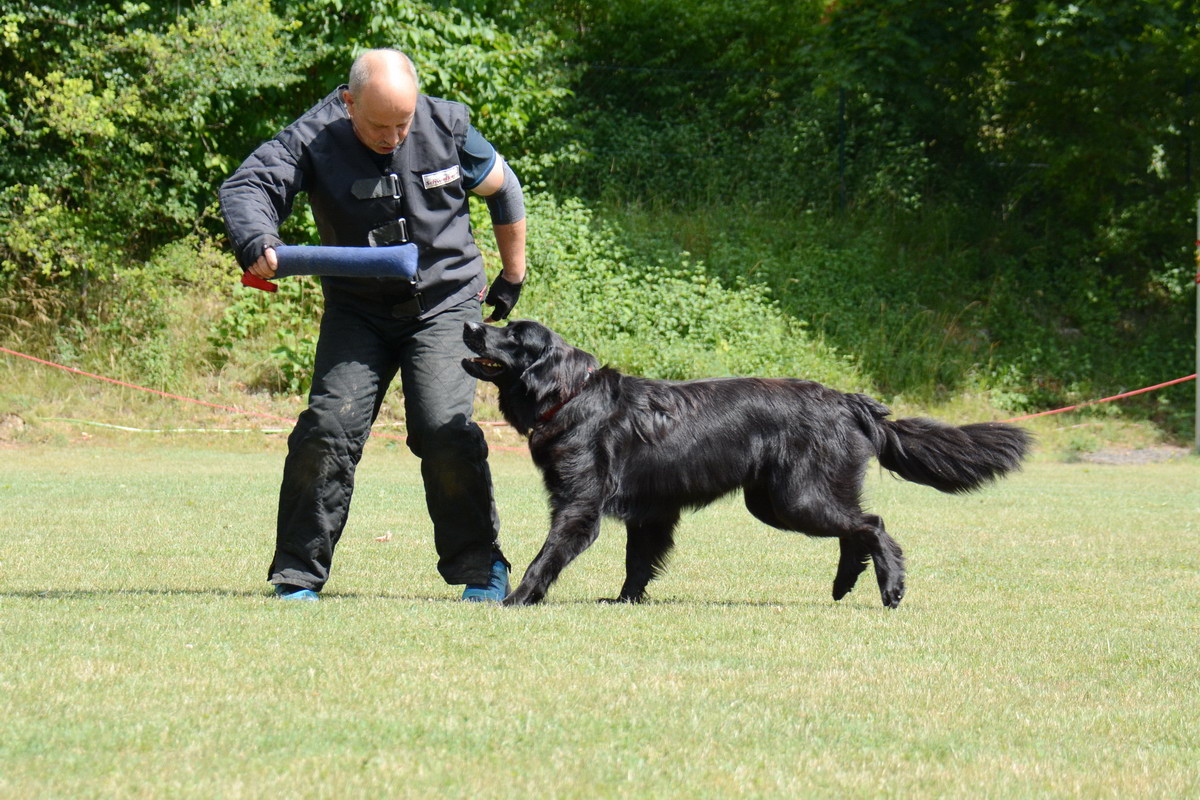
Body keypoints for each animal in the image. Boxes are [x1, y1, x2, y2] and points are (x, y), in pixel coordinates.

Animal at [463, 319, 1027, 606]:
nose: (470, 321)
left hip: (796, 498)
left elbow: (547, 555)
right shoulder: (652, 512)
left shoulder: (579, 504)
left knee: (873, 525)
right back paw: (843, 586)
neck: (571, 396)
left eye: (513, 334)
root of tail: (850, 400)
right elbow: (638, 562)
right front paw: (626, 601)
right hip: (779, 501)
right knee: (856, 530)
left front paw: (517, 599)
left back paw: (891, 589)